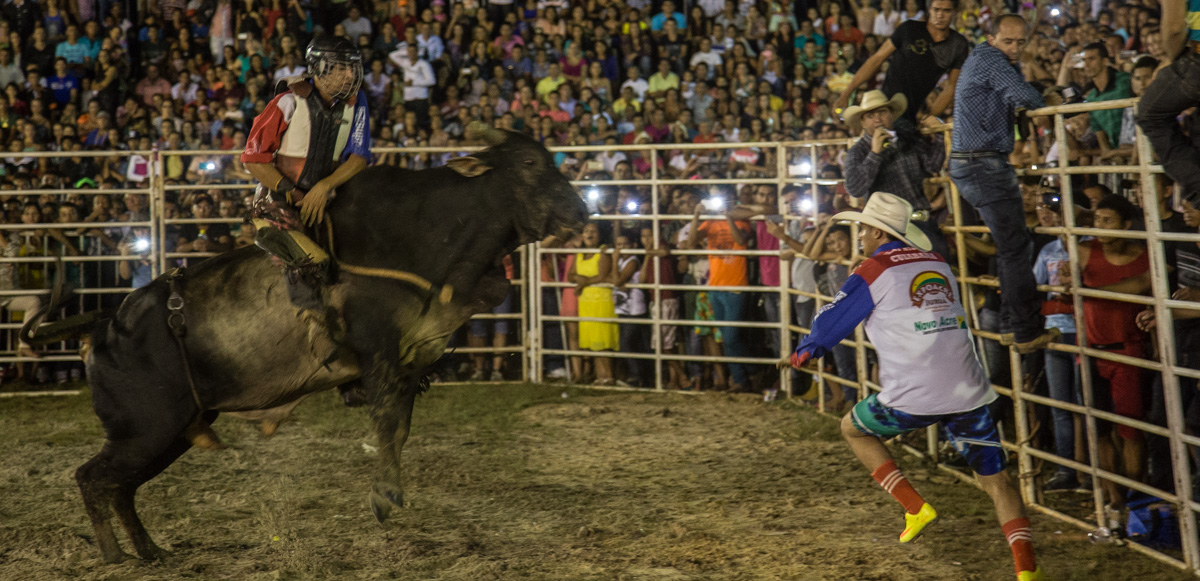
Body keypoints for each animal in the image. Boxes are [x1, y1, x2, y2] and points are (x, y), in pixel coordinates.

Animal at [25, 123, 588, 561]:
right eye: (531, 164)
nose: (582, 213)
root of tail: (104, 323)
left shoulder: (408, 360)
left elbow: (399, 427)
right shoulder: (380, 354)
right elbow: (389, 425)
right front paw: (385, 495)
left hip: (170, 432)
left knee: (121, 488)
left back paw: (149, 551)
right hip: (145, 429)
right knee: (93, 478)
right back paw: (115, 553)